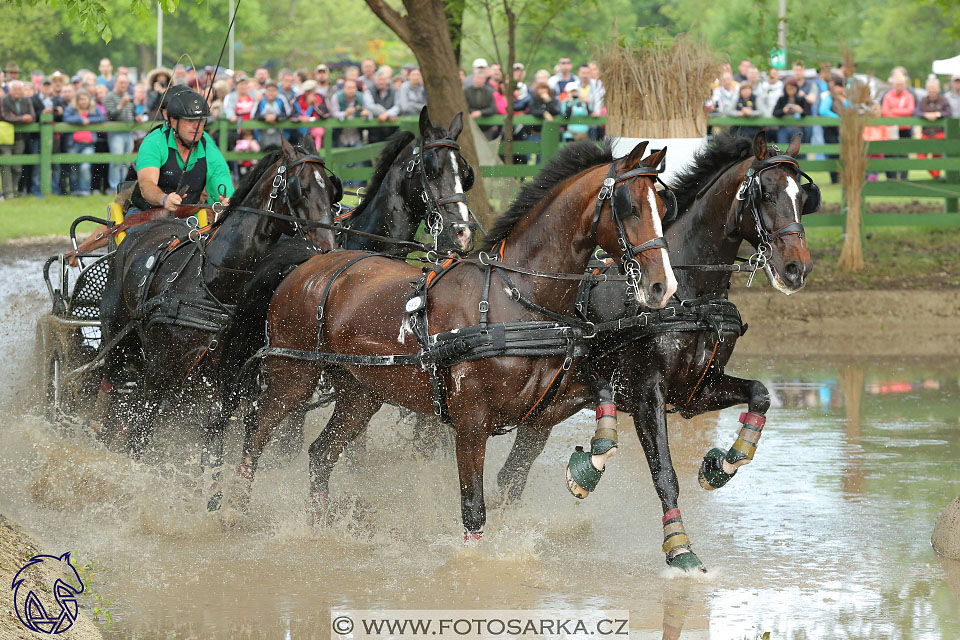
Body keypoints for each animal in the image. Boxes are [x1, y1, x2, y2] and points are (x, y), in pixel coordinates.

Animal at [97, 136, 342, 460]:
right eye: (299, 188)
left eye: (332, 191)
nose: (329, 249)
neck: (216, 284)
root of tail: (135, 235)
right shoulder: (159, 371)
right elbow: (140, 434)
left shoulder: (230, 388)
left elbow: (213, 446)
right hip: (119, 345)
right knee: (110, 389)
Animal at [221, 140, 680, 540]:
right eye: (630, 207)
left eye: (662, 208)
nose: (663, 286)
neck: (514, 298)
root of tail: (309, 261)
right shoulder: (470, 423)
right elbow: (473, 508)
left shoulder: (542, 410)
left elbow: (591, 408)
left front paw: (593, 461)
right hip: (292, 377)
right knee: (254, 439)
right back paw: (233, 509)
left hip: (361, 392)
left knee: (320, 455)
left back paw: (318, 525)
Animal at [496, 132, 816, 572]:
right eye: (765, 194)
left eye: (801, 196)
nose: (797, 269)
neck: (690, 291)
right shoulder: (649, 393)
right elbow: (664, 472)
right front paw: (680, 547)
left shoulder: (698, 391)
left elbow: (760, 394)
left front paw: (722, 464)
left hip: (546, 409)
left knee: (513, 474)